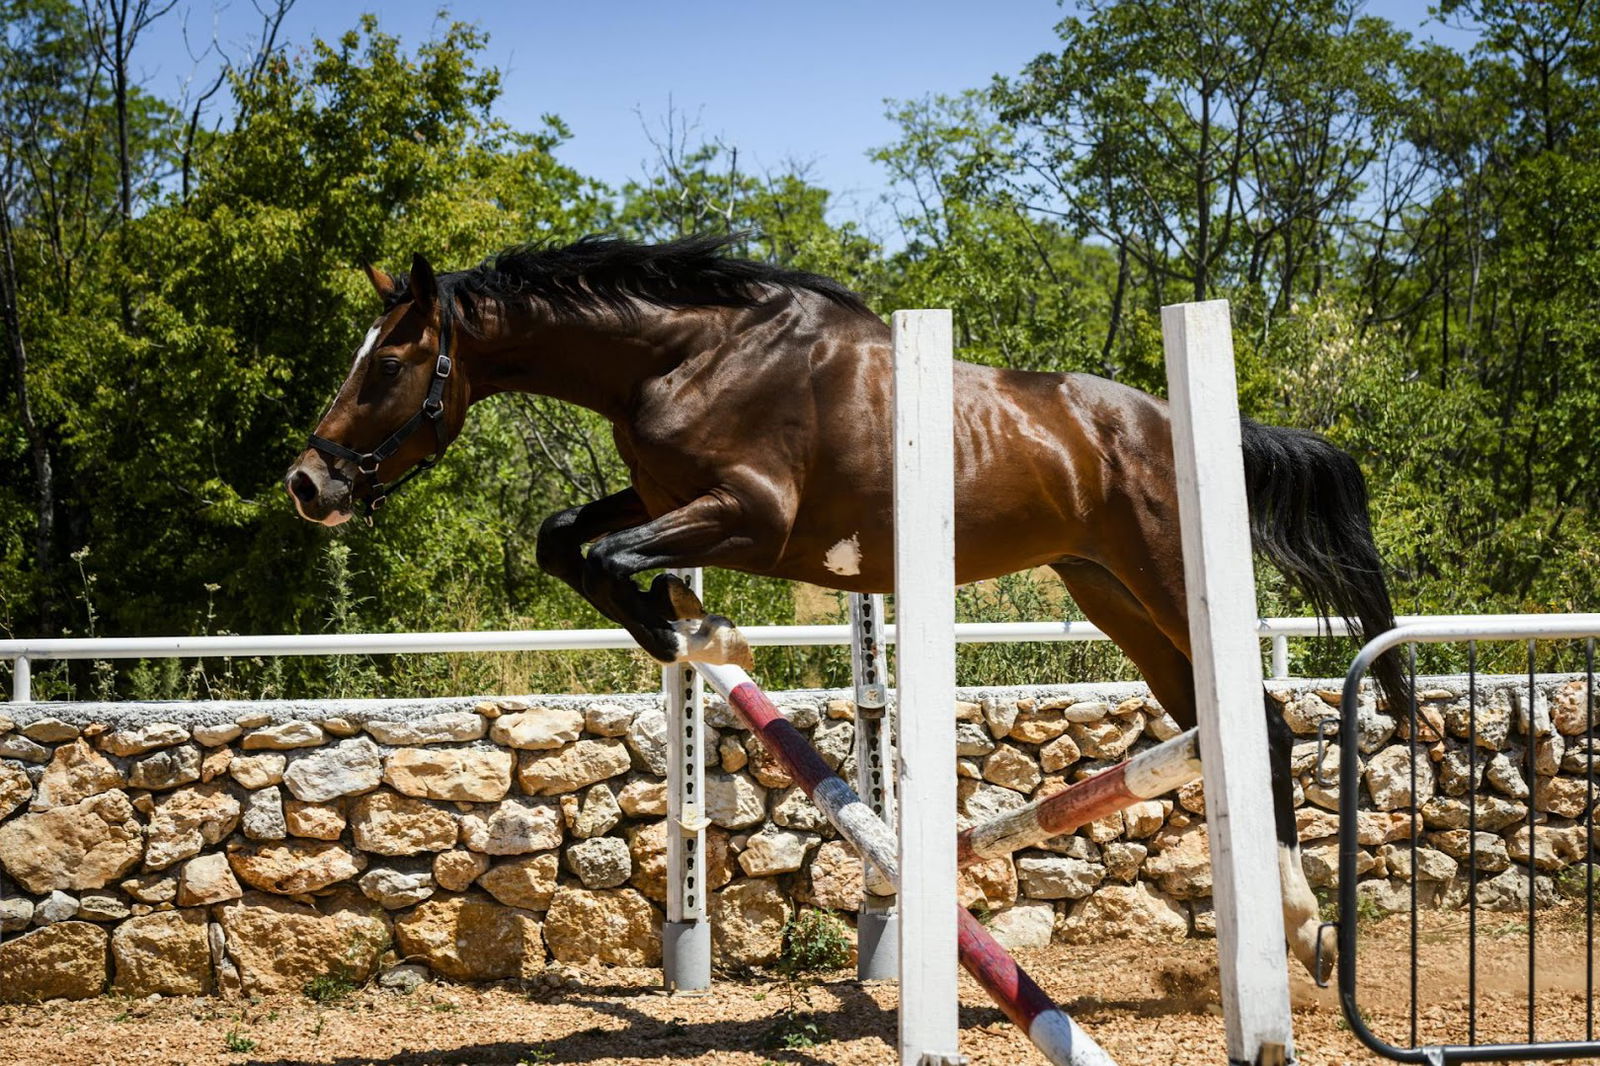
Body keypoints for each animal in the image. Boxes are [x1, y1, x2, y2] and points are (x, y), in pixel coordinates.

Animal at [284, 234, 1408, 981]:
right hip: (1111, 595)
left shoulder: (750, 516)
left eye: (389, 364)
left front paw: (685, 626)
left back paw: (1300, 930)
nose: (308, 483)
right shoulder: (664, 497)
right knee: (1227, 727)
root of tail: (1177, 418)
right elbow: (564, 535)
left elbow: (602, 552)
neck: (683, 357)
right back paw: (1294, 926)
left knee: (1256, 721)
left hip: (1171, 579)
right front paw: (676, 625)